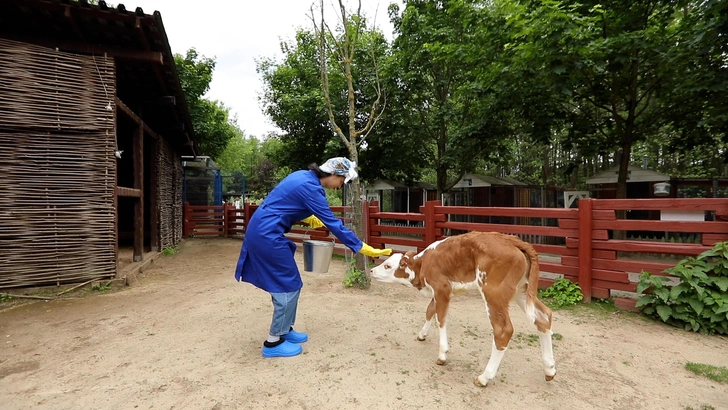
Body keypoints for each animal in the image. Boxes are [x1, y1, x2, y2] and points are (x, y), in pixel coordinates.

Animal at [370, 232, 556, 386]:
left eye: (387, 266)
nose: (371, 270)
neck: (423, 265)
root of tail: (512, 240)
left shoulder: (442, 289)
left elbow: (441, 318)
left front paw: (442, 354)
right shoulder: (437, 292)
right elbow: (430, 310)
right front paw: (422, 334)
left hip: (493, 293)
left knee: (503, 330)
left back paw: (484, 377)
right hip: (521, 290)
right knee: (543, 317)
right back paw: (549, 370)